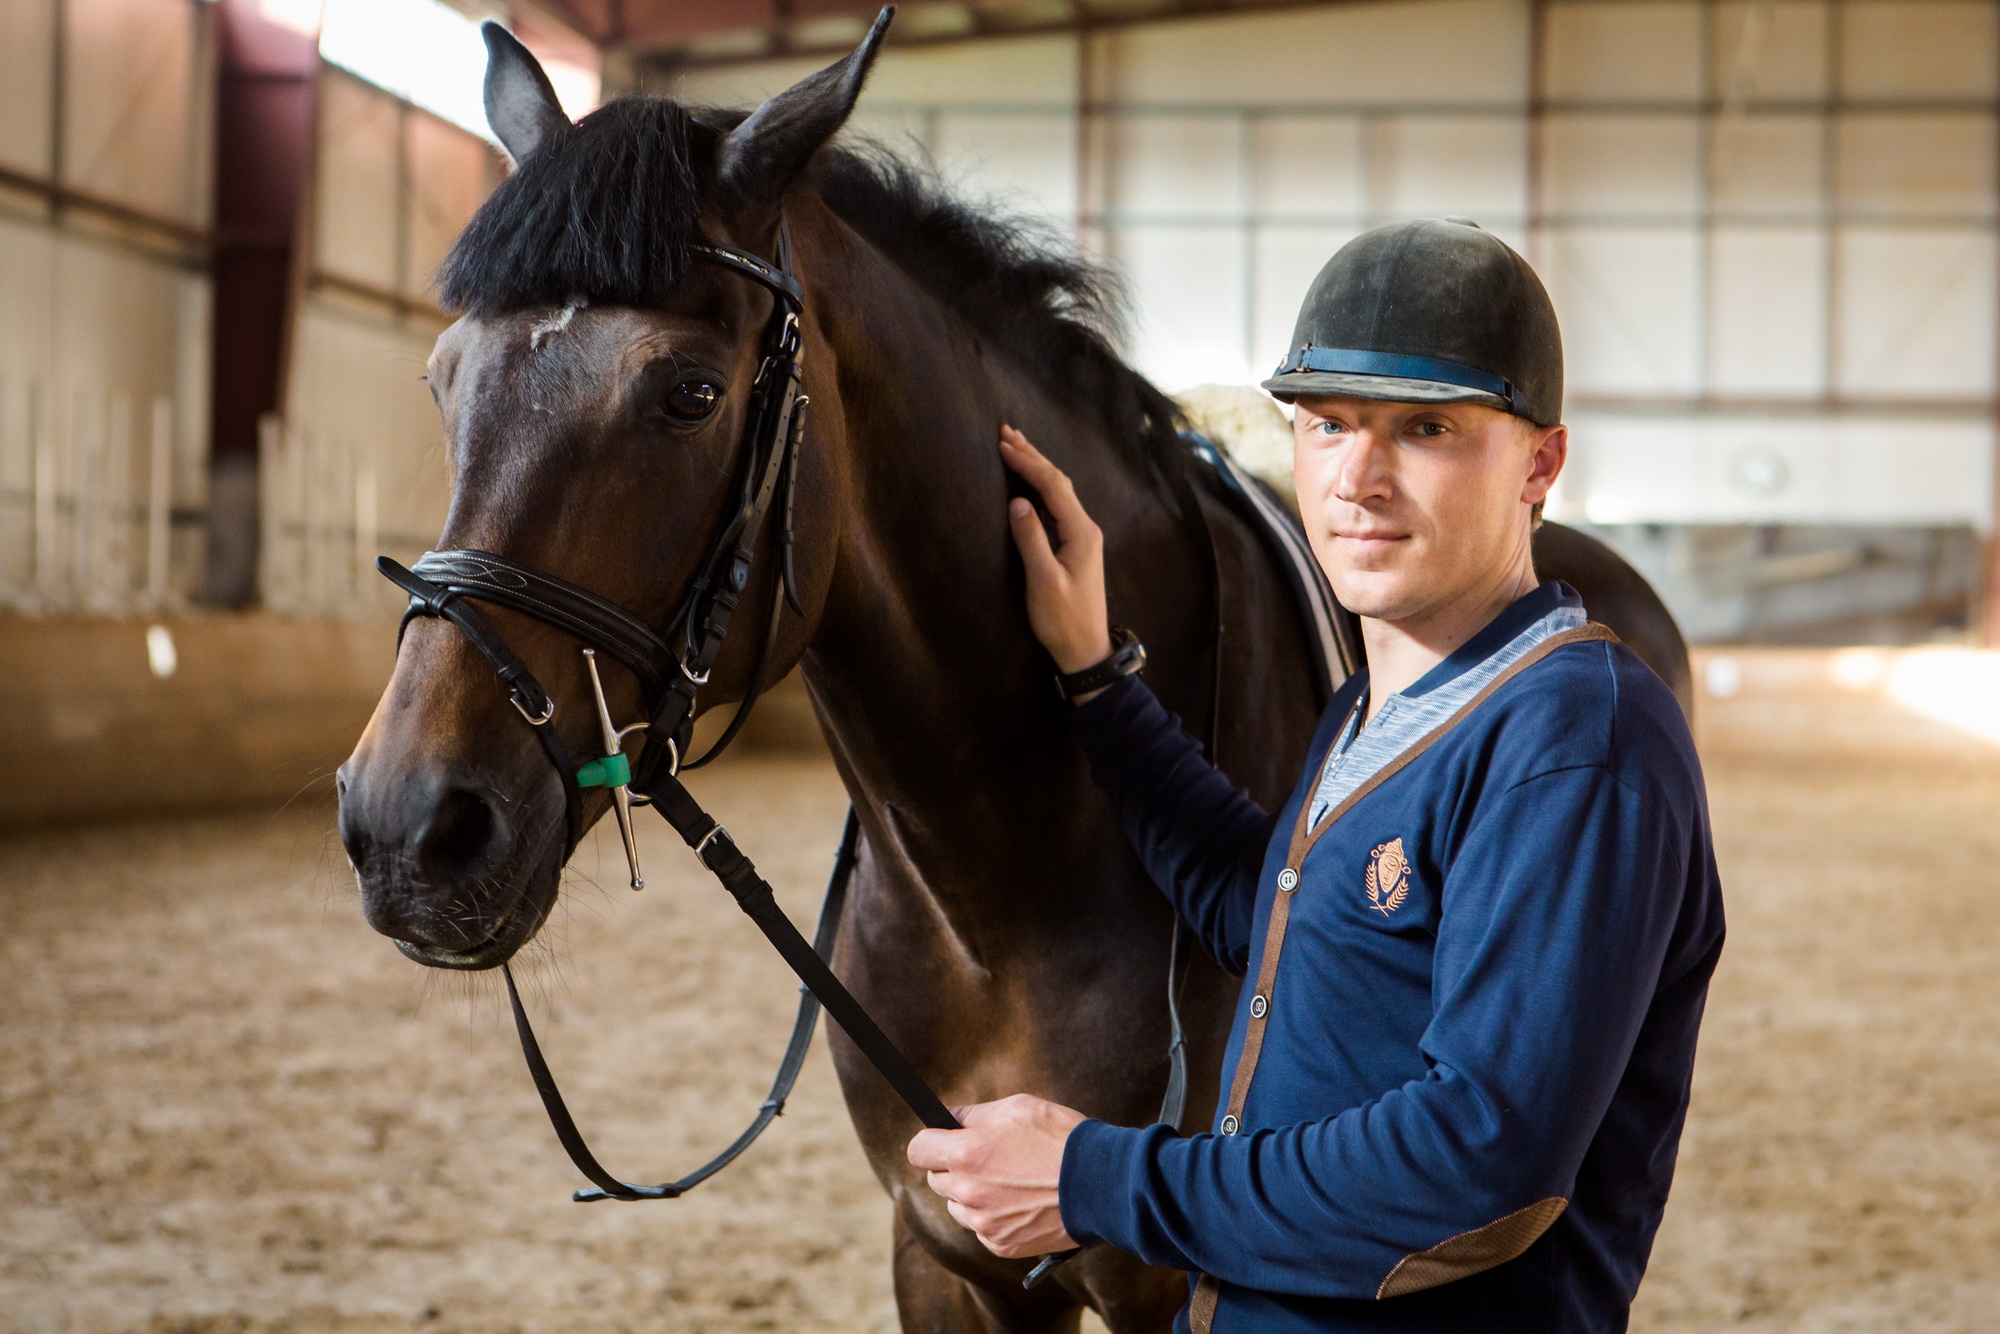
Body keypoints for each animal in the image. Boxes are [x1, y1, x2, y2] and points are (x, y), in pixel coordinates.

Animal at [336, 15, 1696, 1328]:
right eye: (442, 380)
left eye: (689, 393)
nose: (408, 826)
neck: (1000, 878)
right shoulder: (943, 1257)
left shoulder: (1156, 1282)